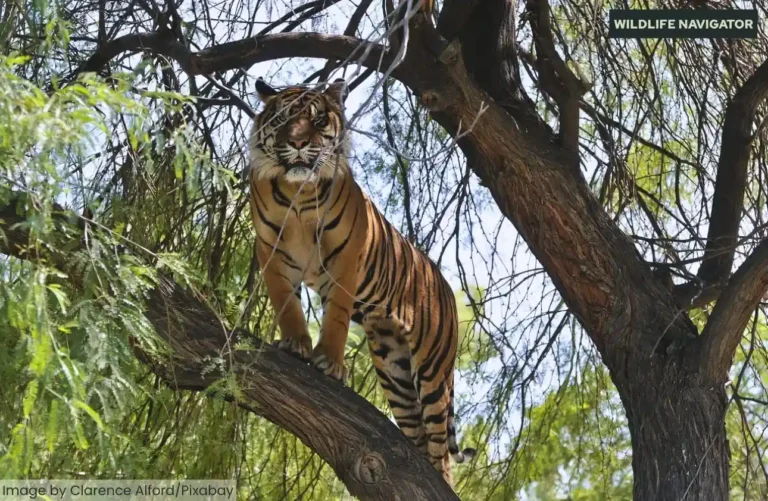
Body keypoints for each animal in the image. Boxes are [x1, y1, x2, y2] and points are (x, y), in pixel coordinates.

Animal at [247, 76, 475, 485]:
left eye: (319, 120)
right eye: (285, 118)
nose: (300, 143)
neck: (297, 193)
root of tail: (446, 285)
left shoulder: (346, 257)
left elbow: (336, 317)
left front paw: (330, 363)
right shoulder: (271, 253)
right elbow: (287, 306)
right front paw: (295, 345)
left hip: (433, 371)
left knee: (440, 448)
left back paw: (439, 481)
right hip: (394, 369)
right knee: (417, 433)